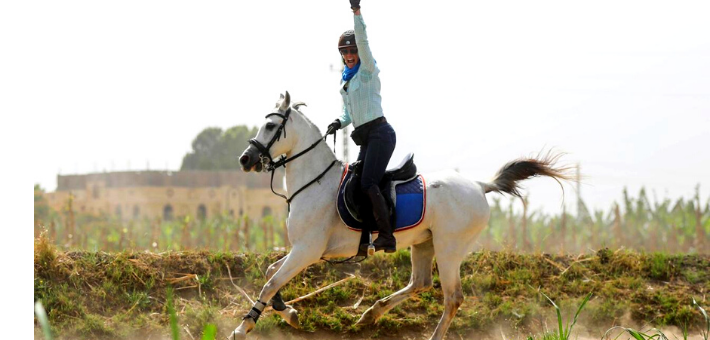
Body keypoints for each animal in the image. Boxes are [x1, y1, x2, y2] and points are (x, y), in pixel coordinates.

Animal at [234, 91, 572, 338]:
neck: (315, 182)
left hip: (449, 249)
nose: (245, 159)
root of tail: (479, 185)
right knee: (420, 283)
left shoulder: (307, 250)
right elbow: (271, 274)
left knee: (452, 298)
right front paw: (289, 313)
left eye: (270, 126)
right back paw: (371, 313)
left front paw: (244, 326)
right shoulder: (303, 250)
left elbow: (270, 281)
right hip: (424, 243)